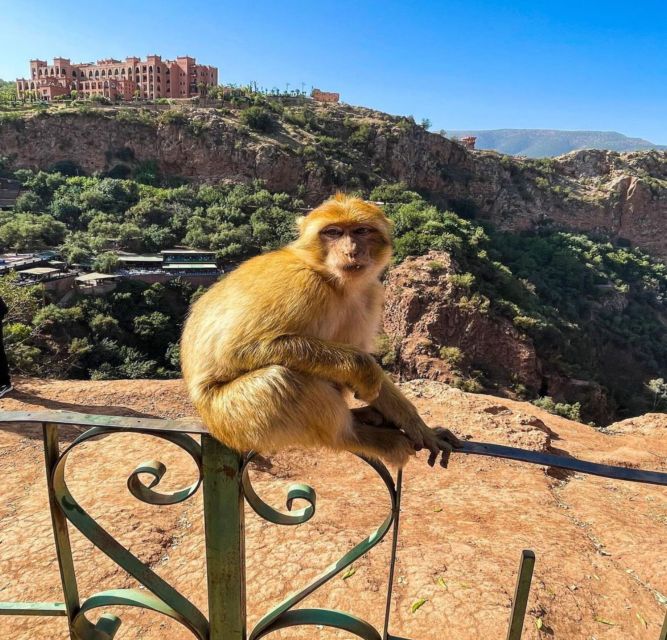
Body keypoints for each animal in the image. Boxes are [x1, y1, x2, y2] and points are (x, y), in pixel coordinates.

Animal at [180, 192, 462, 468]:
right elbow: (236, 349)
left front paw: (419, 427)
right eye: (333, 232)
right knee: (280, 380)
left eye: (361, 231)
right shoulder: (301, 284)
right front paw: (365, 371)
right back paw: (356, 435)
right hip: (230, 418)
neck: (332, 281)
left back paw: (365, 417)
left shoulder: (370, 295)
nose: (351, 251)